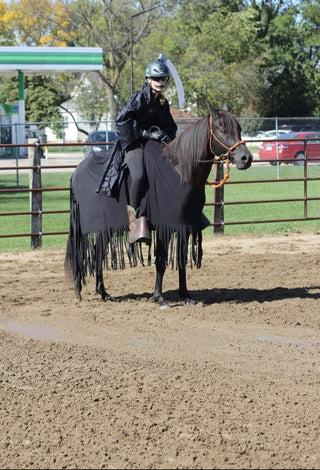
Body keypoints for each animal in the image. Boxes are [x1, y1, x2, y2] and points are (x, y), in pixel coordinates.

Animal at [63, 103, 251, 308]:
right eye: (221, 128)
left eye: (239, 129)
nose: (246, 158)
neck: (180, 172)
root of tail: (77, 172)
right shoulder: (164, 227)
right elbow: (161, 260)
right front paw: (160, 297)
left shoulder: (183, 225)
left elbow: (182, 259)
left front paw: (186, 295)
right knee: (85, 253)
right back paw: (79, 292)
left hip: (105, 229)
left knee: (98, 252)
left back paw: (103, 293)